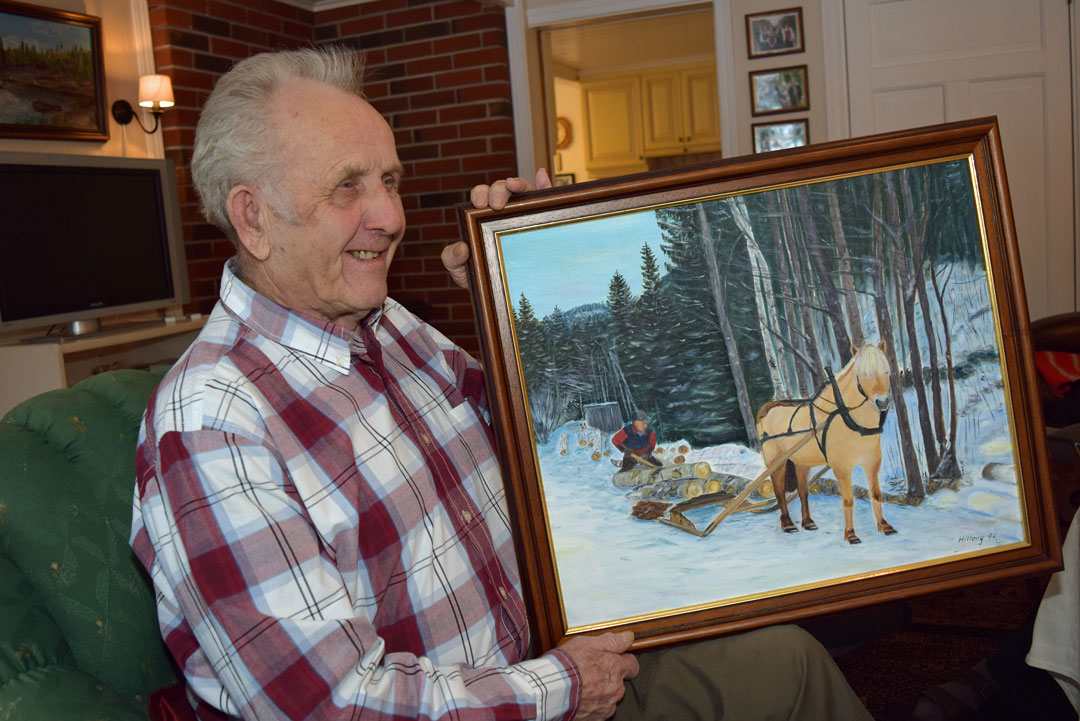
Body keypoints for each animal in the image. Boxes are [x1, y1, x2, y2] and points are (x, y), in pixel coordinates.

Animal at [756, 341, 895, 544]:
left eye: (886, 371)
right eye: (863, 374)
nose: (882, 402)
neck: (851, 420)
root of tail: (766, 408)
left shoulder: (872, 464)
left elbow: (876, 494)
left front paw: (884, 526)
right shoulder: (842, 468)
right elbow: (848, 500)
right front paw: (851, 535)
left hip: (801, 463)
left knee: (803, 491)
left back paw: (808, 522)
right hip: (777, 463)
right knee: (780, 492)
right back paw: (788, 524)